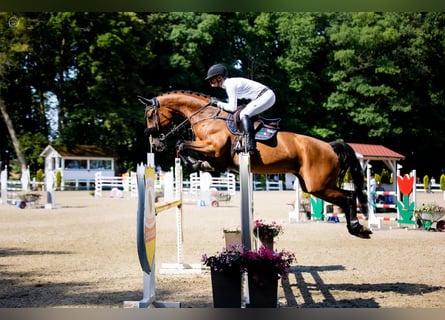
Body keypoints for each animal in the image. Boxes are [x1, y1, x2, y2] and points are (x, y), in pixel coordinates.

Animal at [140, 90, 372, 238]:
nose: (154, 142)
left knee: (349, 196)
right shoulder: (214, 154)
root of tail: (330, 147)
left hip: (318, 185)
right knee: (346, 197)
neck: (207, 117)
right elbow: (189, 151)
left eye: (151, 114)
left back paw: (358, 228)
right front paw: (200, 166)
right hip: (312, 186)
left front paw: (195, 163)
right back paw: (358, 228)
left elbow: (181, 144)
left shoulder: (212, 148)